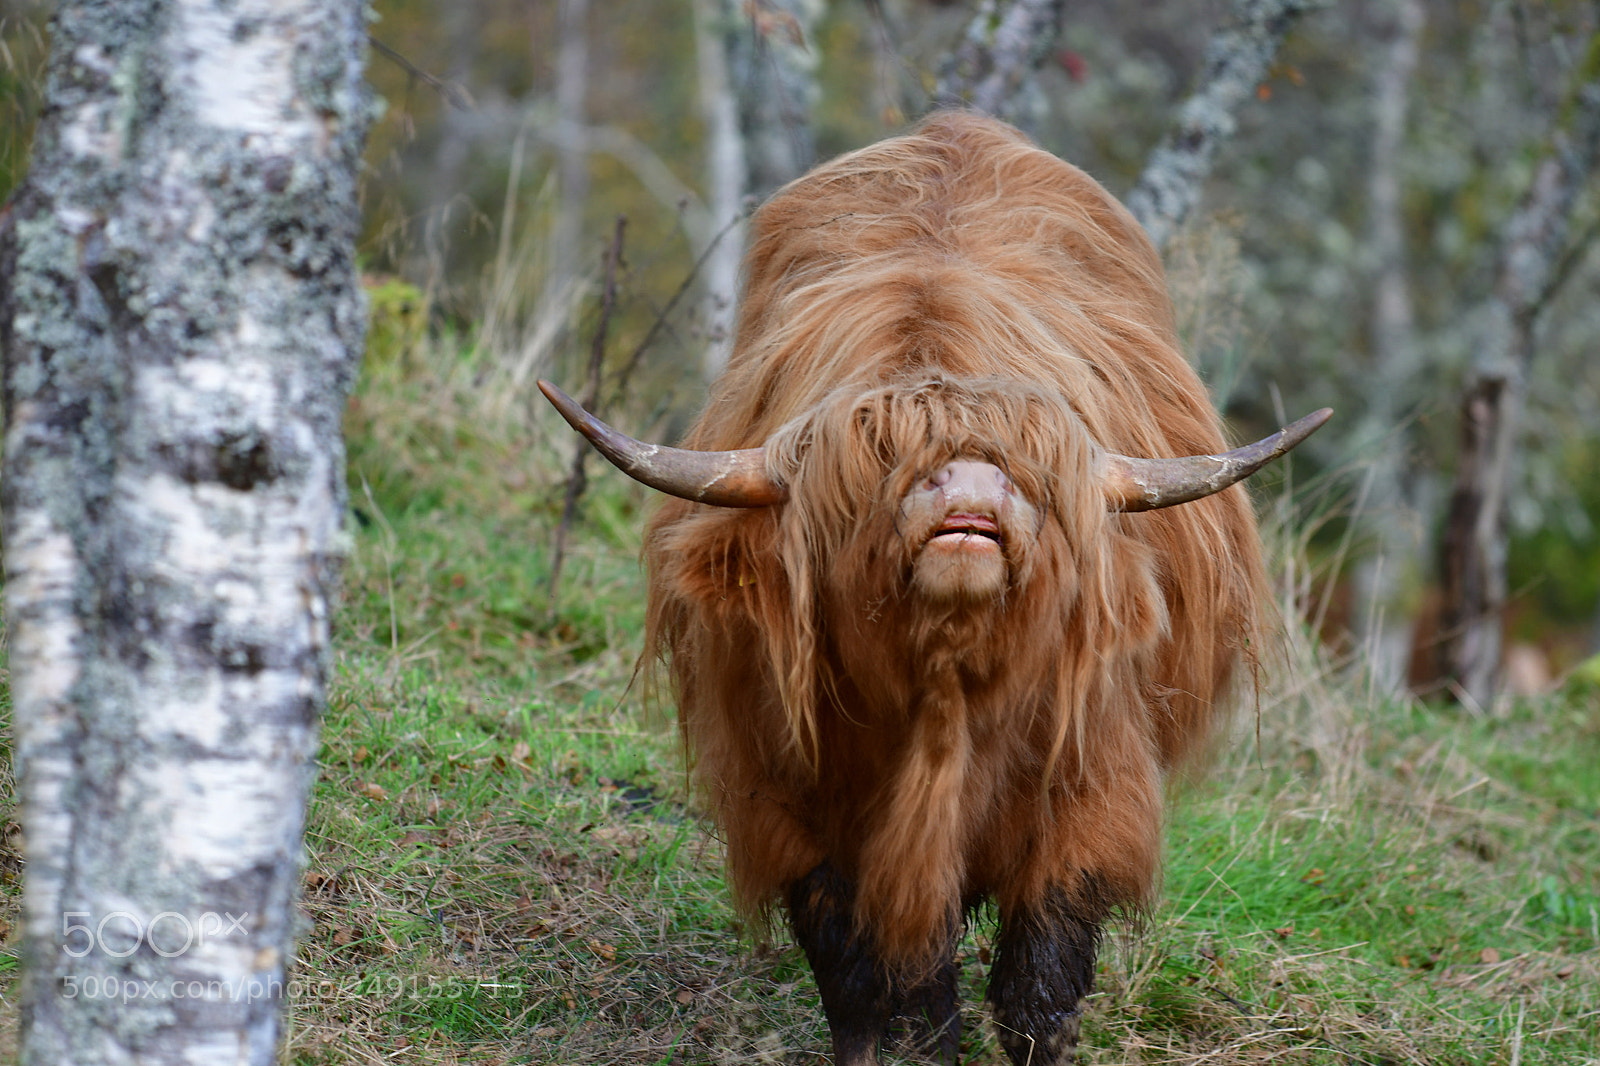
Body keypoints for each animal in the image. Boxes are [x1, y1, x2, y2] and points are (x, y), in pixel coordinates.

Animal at [540, 112, 1328, 1065]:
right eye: (882, 463)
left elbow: (1040, 983)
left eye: (1028, 472)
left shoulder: (1092, 789)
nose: (971, 490)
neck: (943, 701)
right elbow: (873, 982)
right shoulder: (794, 806)